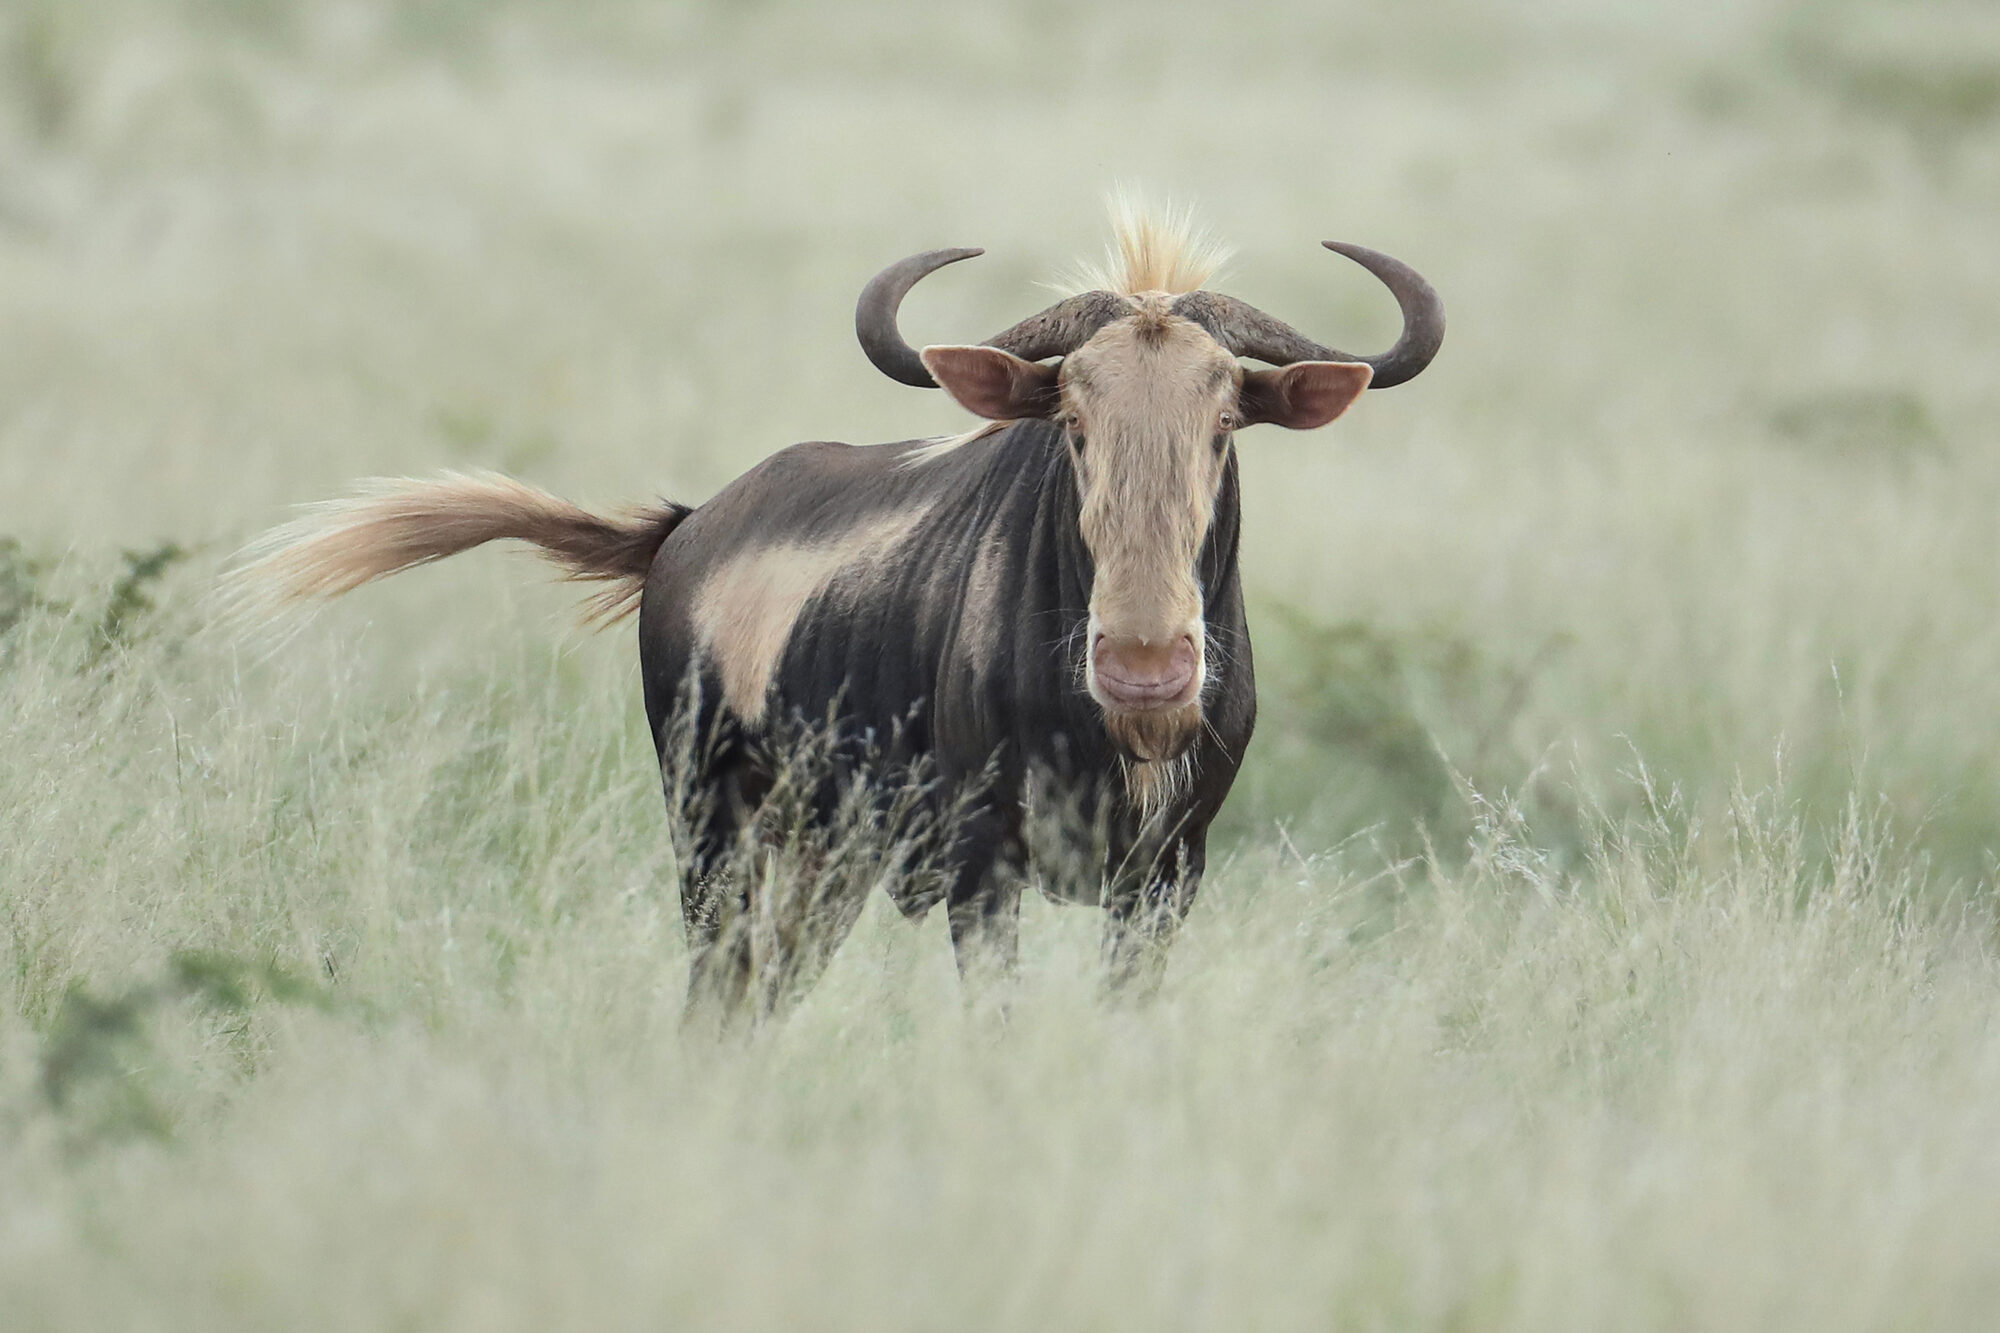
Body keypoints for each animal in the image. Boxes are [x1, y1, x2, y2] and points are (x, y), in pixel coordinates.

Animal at [230, 211, 1443, 1022]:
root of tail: (685, 528)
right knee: (717, 992)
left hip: (823, 861)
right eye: (1073, 421)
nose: (1146, 670)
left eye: (1225, 420)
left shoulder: (1164, 878)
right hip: (710, 831)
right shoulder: (982, 872)